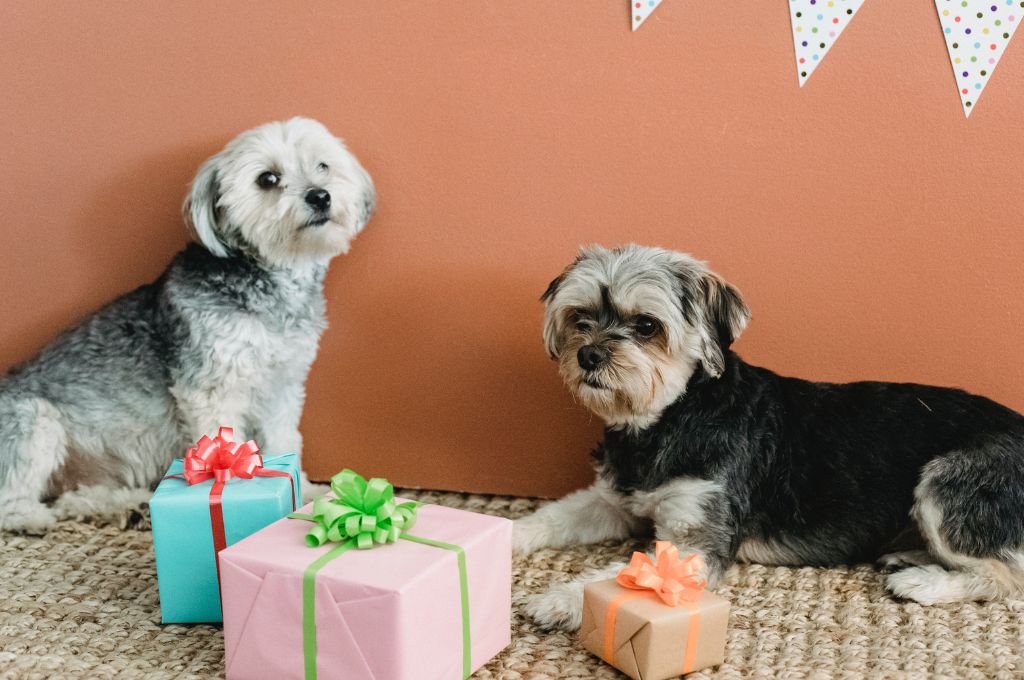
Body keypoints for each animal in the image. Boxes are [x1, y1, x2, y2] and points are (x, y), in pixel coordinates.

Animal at [0, 115, 376, 532]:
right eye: (267, 178)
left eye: (323, 166)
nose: (320, 195)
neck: (267, 284)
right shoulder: (212, 387)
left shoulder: (282, 386)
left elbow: (284, 440)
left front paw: (306, 492)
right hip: (34, 422)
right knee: (10, 500)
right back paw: (33, 518)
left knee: (74, 495)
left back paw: (125, 506)